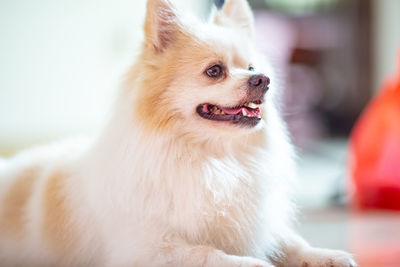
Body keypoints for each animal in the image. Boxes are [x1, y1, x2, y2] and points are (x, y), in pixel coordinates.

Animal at [0, 0, 356, 266]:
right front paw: (253, 263)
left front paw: (326, 256)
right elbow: (210, 255)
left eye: (252, 68)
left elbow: (291, 241)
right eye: (215, 71)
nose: (264, 80)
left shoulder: (256, 222)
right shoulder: (148, 248)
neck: (214, 160)